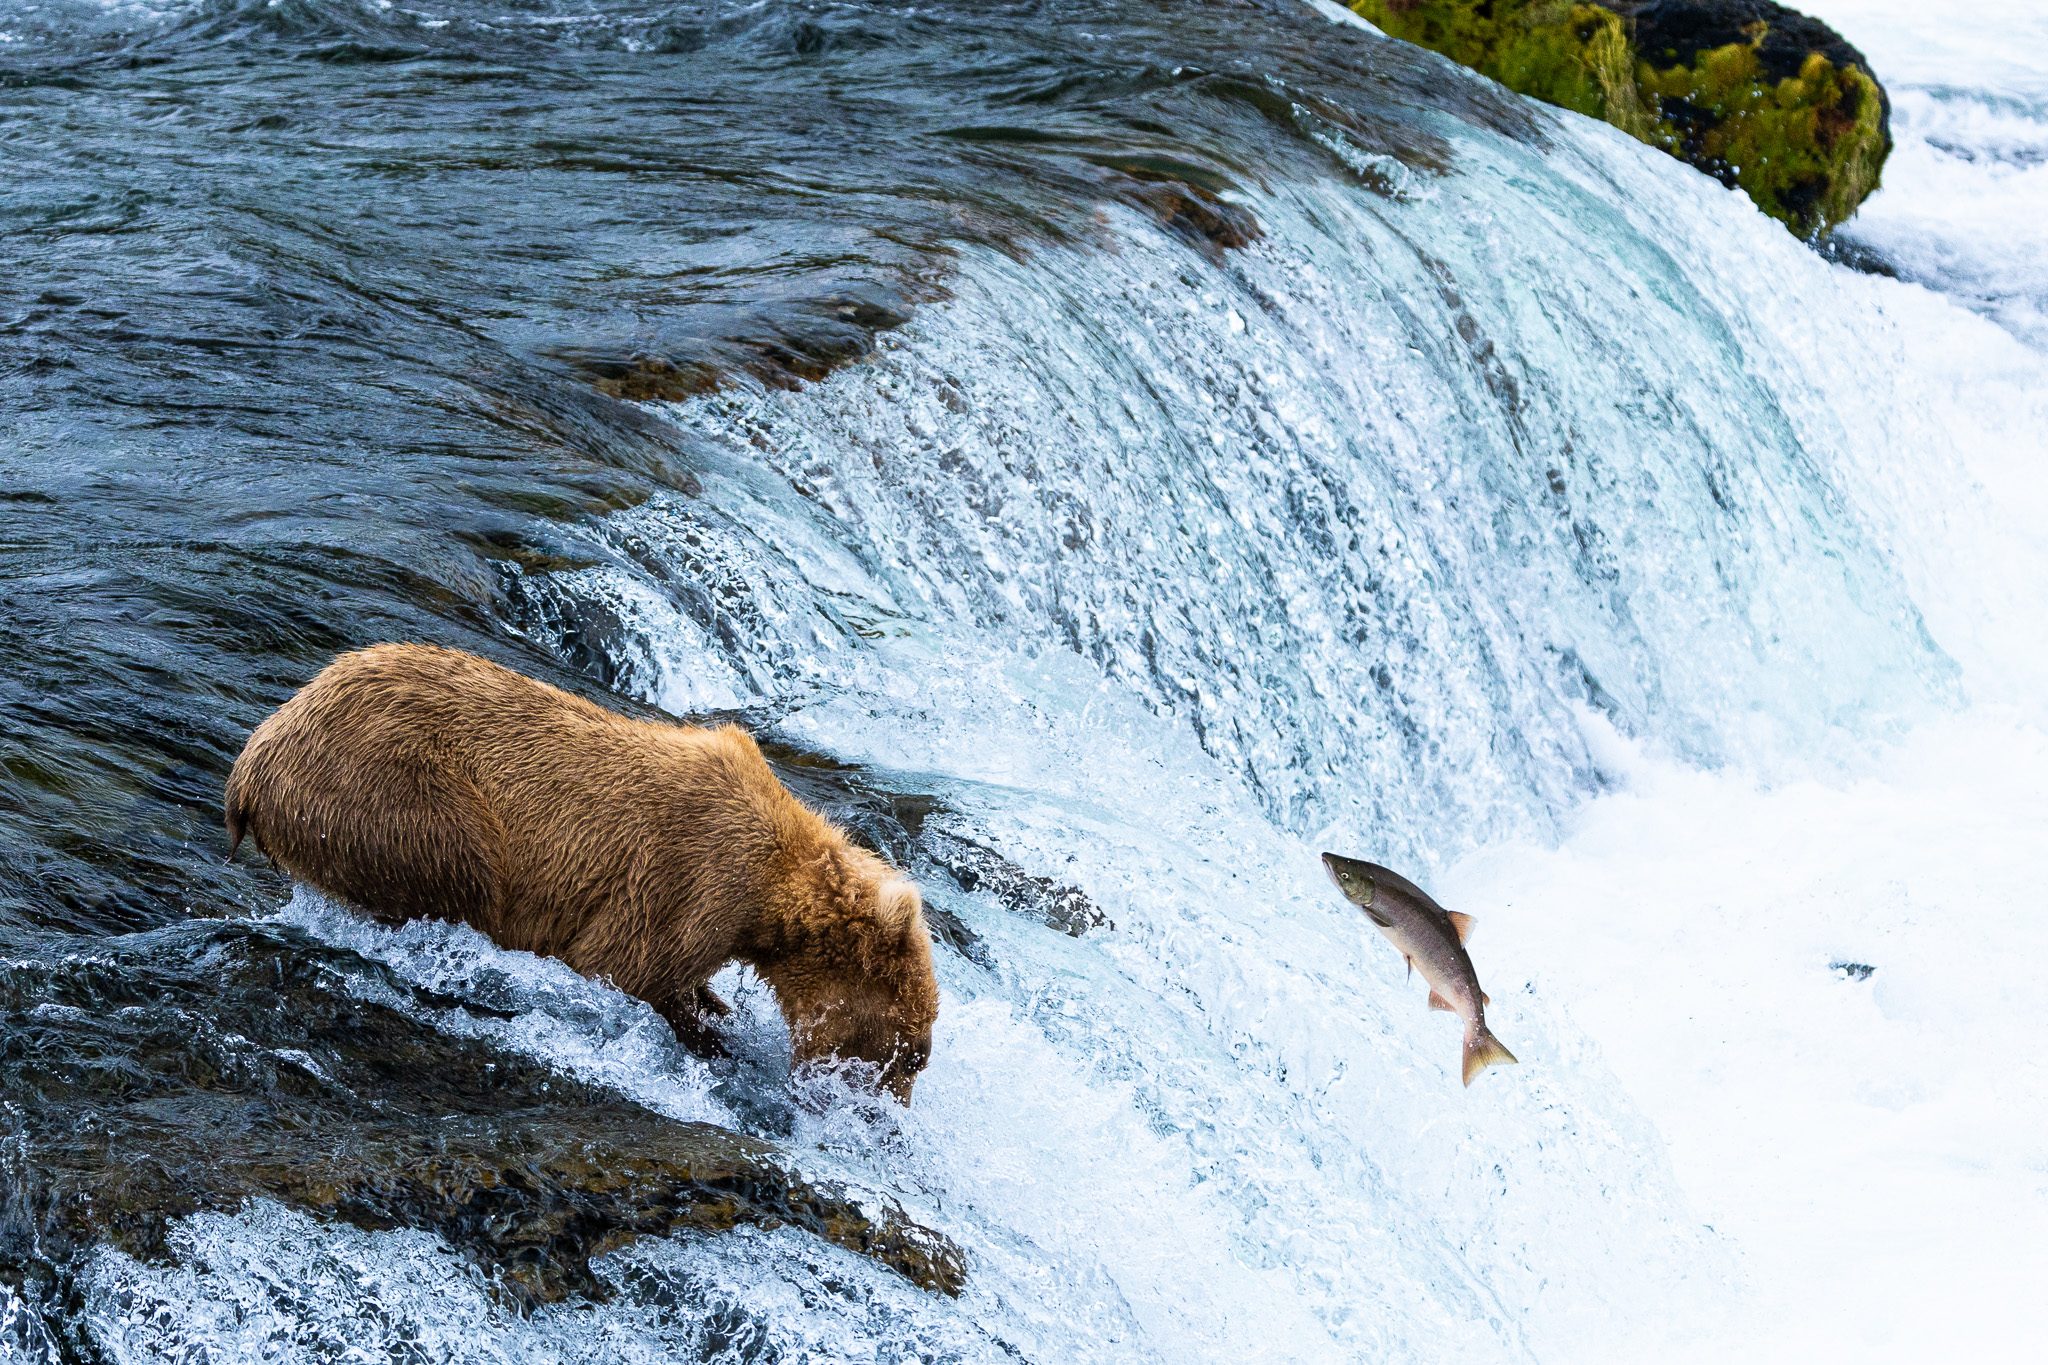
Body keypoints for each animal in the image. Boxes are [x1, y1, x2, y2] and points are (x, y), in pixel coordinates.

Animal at [224, 643, 938, 1102]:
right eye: (908, 1052)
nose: (884, 1117)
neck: (772, 903)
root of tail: (255, 756)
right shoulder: (686, 881)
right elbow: (627, 969)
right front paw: (709, 1037)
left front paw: (717, 1008)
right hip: (399, 800)